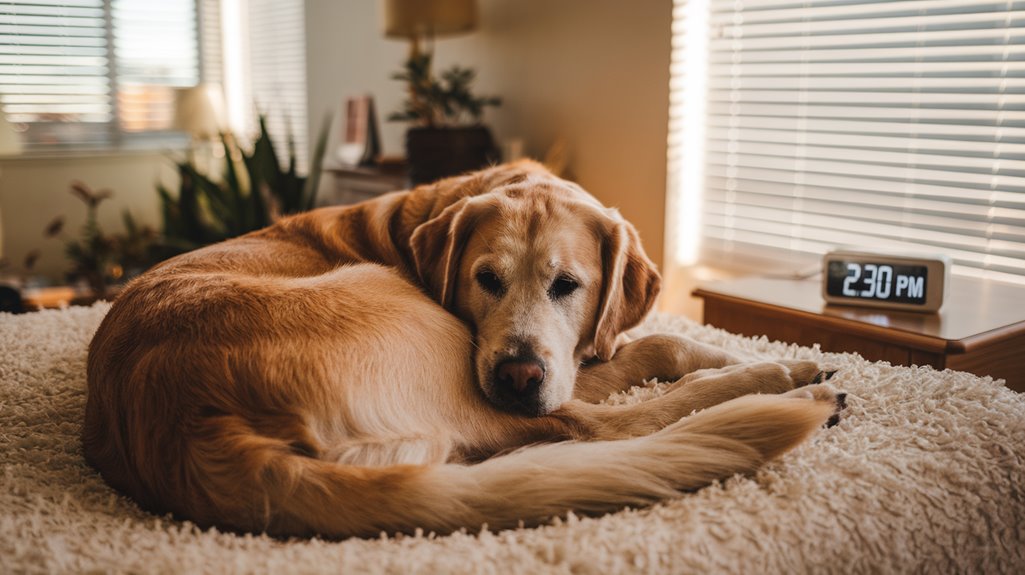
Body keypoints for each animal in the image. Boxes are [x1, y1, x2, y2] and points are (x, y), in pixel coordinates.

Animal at [86, 158, 840, 537]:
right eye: (486, 279)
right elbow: (664, 343)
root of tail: (198, 428)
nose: (517, 375)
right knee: (611, 426)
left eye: (568, 285)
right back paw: (791, 378)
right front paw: (748, 358)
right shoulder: (581, 371)